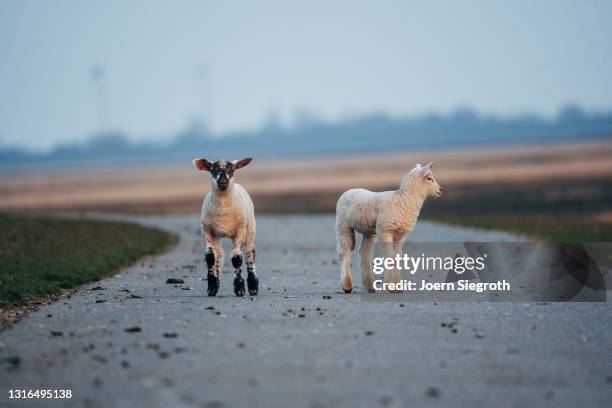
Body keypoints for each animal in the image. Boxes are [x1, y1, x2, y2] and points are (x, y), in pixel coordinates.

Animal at [192, 156, 256, 296]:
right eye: (213, 169)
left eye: (231, 169)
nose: (223, 180)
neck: (223, 216)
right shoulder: (207, 232)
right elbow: (210, 257)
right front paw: (211, 286)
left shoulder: (239, 232)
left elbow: (236, 258)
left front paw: (240, 288)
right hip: (216, 236)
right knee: (219, 256)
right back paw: (215, 285)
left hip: (250, 229)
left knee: (250, 254)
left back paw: (253, 287)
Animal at [334, 163, 440, 294]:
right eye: (430, 178)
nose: (440, 190)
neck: (404, 199)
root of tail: (349, 190)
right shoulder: (385, 231)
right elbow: (390, 257)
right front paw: (392, 285)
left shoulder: (400, 236)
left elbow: (397, 258)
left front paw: (398, 286)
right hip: (343, 225)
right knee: (344, 252)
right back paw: (347, 285)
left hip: (368, 231)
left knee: (364, 252)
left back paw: (370, 286)